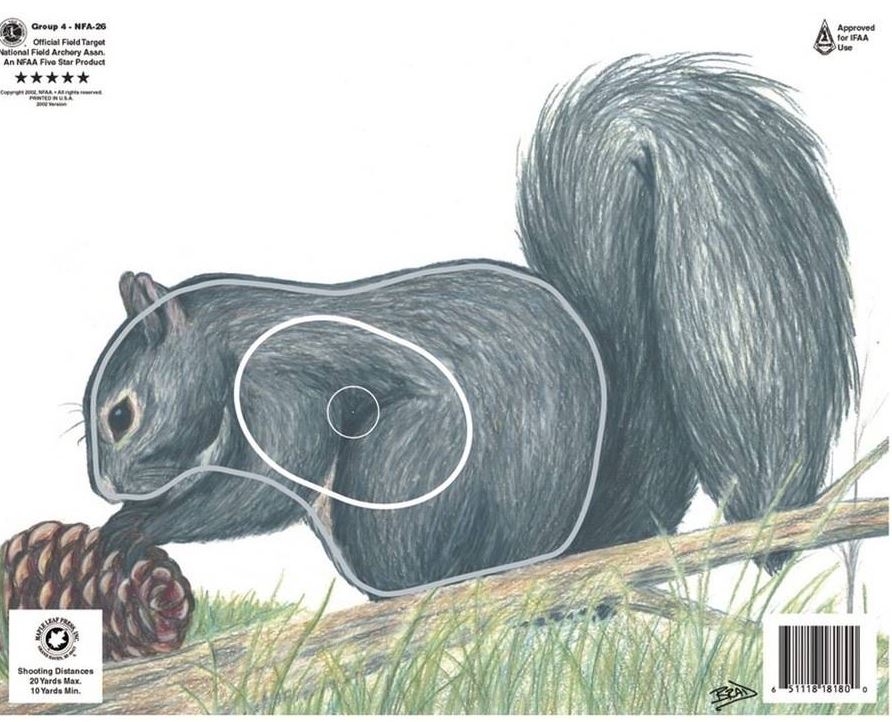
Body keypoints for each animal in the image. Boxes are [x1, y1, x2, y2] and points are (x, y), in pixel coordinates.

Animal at [86, 55, 855, 596]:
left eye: (121, 414)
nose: (106, 489)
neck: (229, 342)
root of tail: (558, 548)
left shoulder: (280, 390)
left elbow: (253, 494)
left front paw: (139, 524)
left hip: (405, 468)